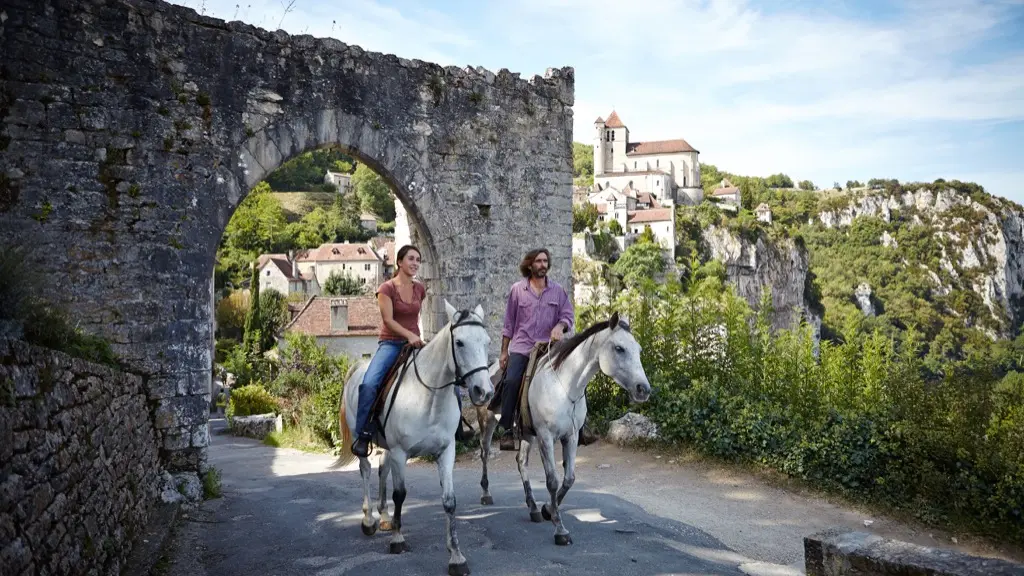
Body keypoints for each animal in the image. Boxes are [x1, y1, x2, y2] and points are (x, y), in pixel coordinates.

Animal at [337, 301, 493, 573]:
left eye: (486, 341)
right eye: (460, 342)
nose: (484, 392)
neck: (429, 397)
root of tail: (358, 367)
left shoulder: (446, 452)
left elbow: (449, 501)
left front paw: (456, 556)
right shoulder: (401, 453)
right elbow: (400, 494)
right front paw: (398, 540)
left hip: (386, 446)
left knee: (382, 468)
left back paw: (385, 516)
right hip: (362, 438)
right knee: (366, 470)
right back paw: (369, 519)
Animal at [471, 311, 647, 545]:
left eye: (639, 350)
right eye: (619, 348)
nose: (643, 389)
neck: (564, 386)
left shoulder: (570, 437)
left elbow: (569, 478)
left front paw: (547, 510)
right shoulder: (545, 437)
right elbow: (553, 481)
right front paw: (559, 528)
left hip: (527, 433)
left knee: (521, 462)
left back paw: (533, 507)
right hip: (487, 422)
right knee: (484, 454)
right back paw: (486, 494)